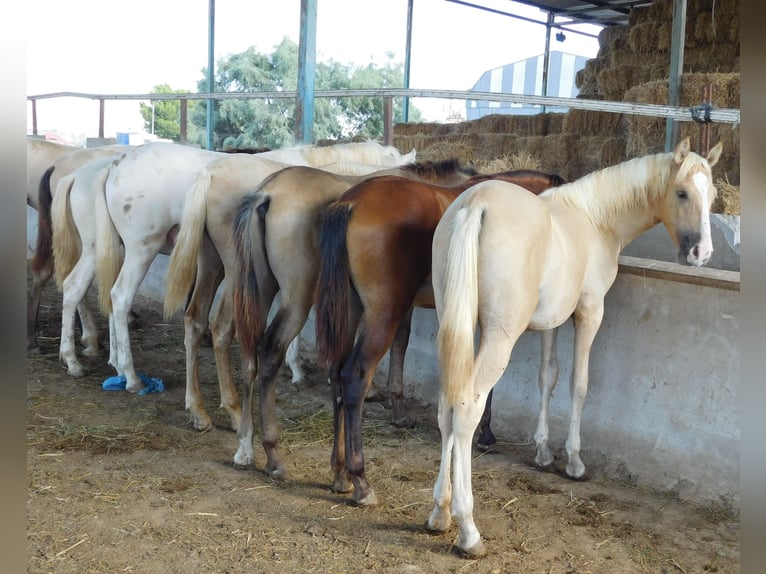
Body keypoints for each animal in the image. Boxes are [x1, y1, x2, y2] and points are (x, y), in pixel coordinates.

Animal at [98, 141, 416, 400]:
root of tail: (116, 165)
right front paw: (297, 369)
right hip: (143, 249)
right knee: (121, 297)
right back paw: (133, 377)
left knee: (112, 299)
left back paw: (117, 364)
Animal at [228, 160, 480, 474]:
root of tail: (267, 193)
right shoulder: (396, 305)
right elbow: (400, 343)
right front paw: (396, 408)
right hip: (297, 296)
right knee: (270, 351)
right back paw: (273, 453)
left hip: (260, 291)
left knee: (250, 355)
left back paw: (245, 447)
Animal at [428, 137, 724, 560]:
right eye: (682, 193)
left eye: (712, 194)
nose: (702, 253)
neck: (595, 218)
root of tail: (476, 205)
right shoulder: (588, 313)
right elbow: (578, 384)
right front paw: (574, 461)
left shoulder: (550, 321)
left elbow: (547, 377)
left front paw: (542, 453)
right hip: (499, 337)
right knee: (466, 408)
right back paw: (468, 530)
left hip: (458, 327)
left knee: (446, 406)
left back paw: (439, 513)